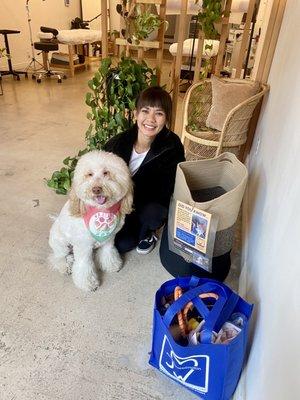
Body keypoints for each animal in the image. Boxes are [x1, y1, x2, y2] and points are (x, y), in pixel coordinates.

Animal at [48, 150, 133, 290]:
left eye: (106, 172)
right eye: (89, 174)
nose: (96, 189)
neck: (101, 212)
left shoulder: (109, 239)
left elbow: (108, 253)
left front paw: (112, 265)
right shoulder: (83, 247)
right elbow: (84, 266)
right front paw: (88, 283)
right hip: (62, 244)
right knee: (58, 257)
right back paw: (65, 266)